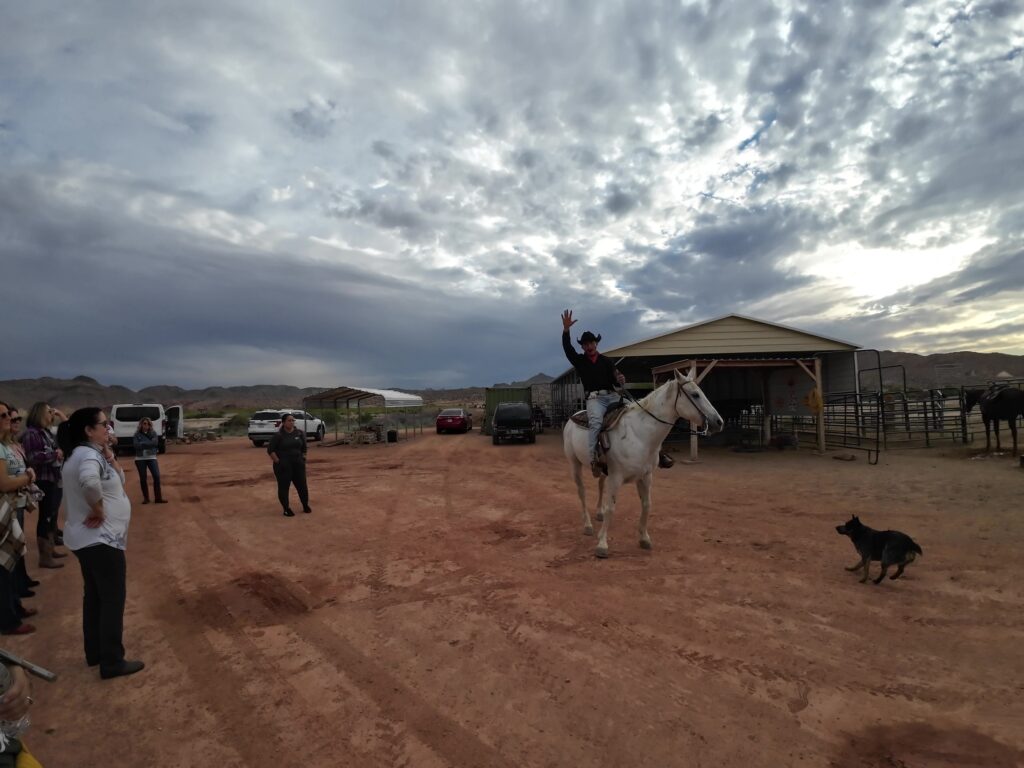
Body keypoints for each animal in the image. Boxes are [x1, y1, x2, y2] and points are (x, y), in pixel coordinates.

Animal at [565, 368, 724, 561]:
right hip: (575, 464)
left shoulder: (646, 476)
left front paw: (644, 538)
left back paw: (599, 513)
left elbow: (647, 505)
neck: (640, 435)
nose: (719, 422)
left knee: (600, 485)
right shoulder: (616, 477)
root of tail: (573, 417)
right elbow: (612, 508)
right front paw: (602, 544)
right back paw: (587, 525)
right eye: (695, 394)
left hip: (603, 471)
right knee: (581, 492)